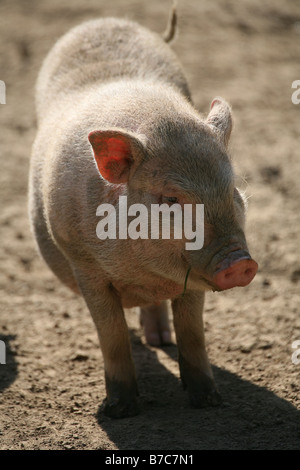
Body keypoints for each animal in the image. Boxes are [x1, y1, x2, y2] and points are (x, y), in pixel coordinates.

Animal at [28, 6, 258, 418]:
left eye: (232, 190)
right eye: (170, 200)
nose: (241, 262)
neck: (144, 273)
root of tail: (106, 20)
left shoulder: (192, 278)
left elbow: (193, 333)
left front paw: (209, 402)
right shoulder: (83, 264)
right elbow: (112, 335)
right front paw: (119, 411)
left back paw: (161, 341)